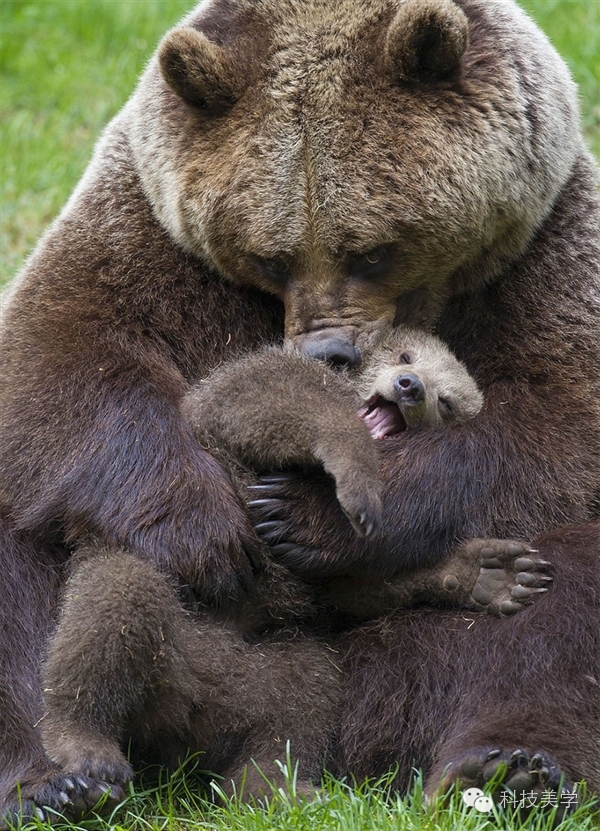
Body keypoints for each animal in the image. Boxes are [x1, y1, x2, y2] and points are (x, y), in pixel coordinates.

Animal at [1, 0, 600, 824]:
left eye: (375, 250)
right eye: (269, 256)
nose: (330, 351)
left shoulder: (547, 254)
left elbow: (554, 427)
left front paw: (312, 515)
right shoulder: (146, 235)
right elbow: (57, 356)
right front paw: (208, 528)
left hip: (346, 664)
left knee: (555, 600)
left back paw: (511, 765)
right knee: (33, 568)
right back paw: (55, 778)